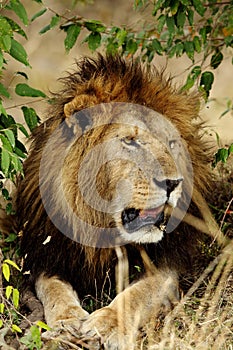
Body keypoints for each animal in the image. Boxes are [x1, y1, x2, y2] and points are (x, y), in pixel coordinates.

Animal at [15, 54, 218, 348]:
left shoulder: (168, 263)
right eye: (131, 141)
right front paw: (67, 322)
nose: (173, 183)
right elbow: (54, 289)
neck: (100, 227)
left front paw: (106, 325)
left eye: (171, 143)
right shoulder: (47, 255)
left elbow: (137, 294)